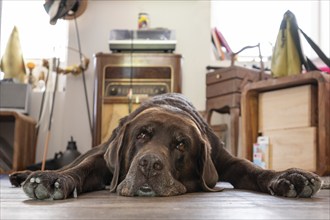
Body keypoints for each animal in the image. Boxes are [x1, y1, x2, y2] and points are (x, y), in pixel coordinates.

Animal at [9, 93, 322, 199]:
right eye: (141, 135)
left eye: (181, 144)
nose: (149, 164)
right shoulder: (102, 160)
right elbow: (83, 169)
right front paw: (52, 180)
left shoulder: (225, 160)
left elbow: (250, 167)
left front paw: (291, 176)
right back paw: (24, 175)